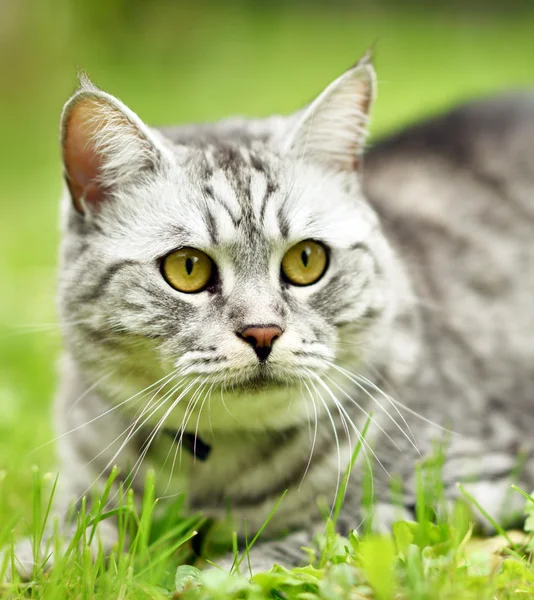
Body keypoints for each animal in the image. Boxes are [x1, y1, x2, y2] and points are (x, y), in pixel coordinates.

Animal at [9, 56, 534, 576]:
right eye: (187, 268)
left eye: (306, 260)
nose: (262, 332)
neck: (214, 472)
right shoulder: (88, 489)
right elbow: (75, 533)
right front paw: (35, 559)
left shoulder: (461, 488)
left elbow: (306, 541)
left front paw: (208, 575)